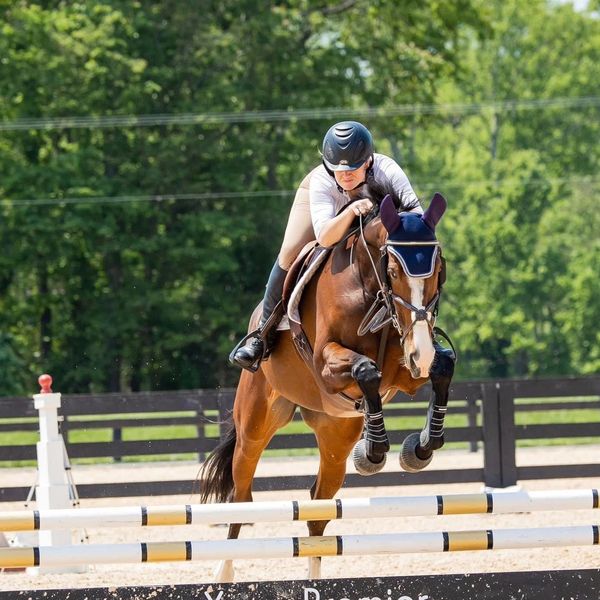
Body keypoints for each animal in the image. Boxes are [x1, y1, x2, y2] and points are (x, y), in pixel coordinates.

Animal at [198, 182, 454, 580]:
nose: (421, 354)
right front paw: (374, 451)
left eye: (438, 267)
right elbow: (366, 370)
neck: (367, 287)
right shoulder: (327, 364)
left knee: (317, 511)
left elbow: (443, 367)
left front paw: (420, 448)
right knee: (240, 497)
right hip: (255, 425)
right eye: (393, 269)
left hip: (335, 435)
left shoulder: (407, 367)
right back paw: (223, 575)